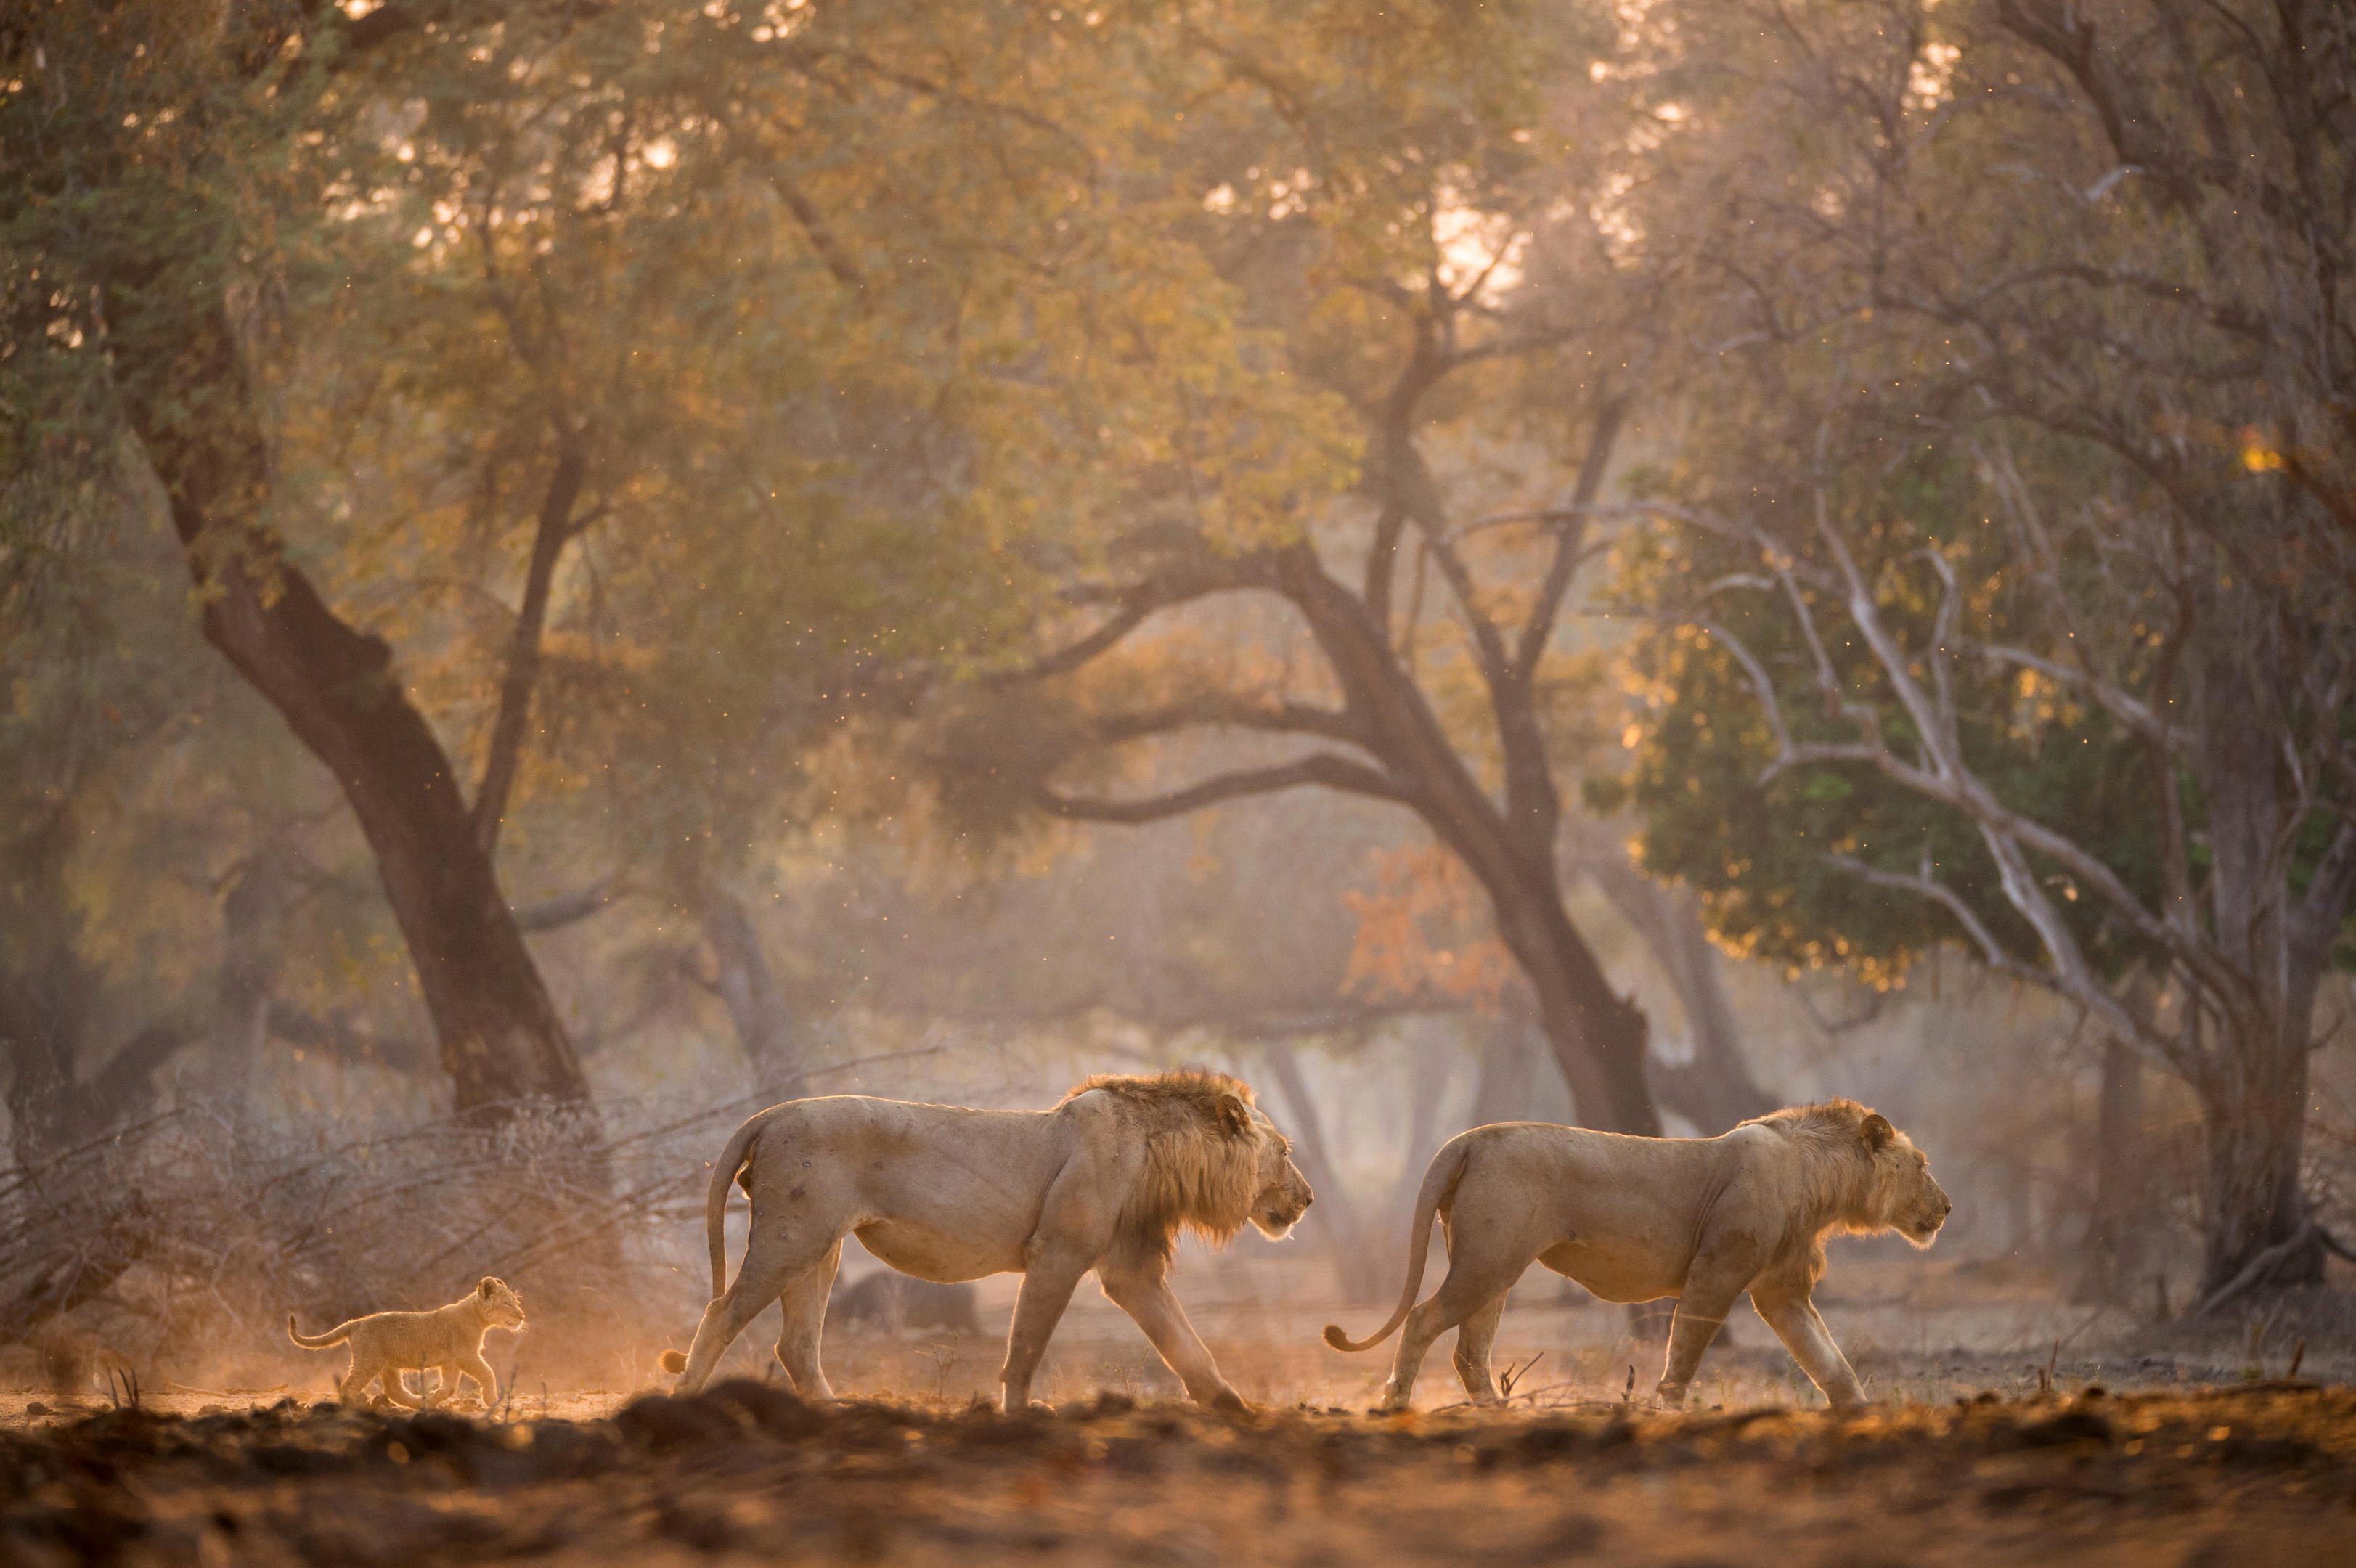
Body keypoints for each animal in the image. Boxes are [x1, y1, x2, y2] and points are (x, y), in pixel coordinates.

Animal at [288, 1277, 526, 1410]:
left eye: (516, 1302)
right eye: (507, 1303)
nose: (522, 1317)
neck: (478, 1316)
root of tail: (356, 1323)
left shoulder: (451, 1361)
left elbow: (449, 1388)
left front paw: (434, 1398)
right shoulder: (465, 1354)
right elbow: (487, 1373)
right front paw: (492, 1399)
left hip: (389, 1365)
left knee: (395, 1391)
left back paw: (420, 1403)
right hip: (369, 1360)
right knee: (349, 1385)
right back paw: (355, 1408)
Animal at [655, 1071, 1312, 1412]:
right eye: (1284, 1151)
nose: (1308, 1200)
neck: (1162, 1155)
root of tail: (770, 1113)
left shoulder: (1131, 1270)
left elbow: (1187, 1345)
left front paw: (1234, 1408)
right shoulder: (1057, 1253)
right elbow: (1026, 1343)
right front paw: (1020, 1412)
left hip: (820, 1246)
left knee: (796, 1344)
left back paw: (834, 1413)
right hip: (792, 1237)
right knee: (721, 1312)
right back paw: (683, 1401)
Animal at [1324, 1100, 1950, 1411]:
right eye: (1922, 1164)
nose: (1946, 1207)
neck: (1820, 1184)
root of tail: (1469, 1137)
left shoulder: (1781, 1292)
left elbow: (1829, 1362)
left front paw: (1862, 1415)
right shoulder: (1716, 1273)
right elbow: (1686, 1353)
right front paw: (1668, 1410)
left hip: (1491, 1270)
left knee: (1468, 1351)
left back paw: (1497, 1414)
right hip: (1487, 1263)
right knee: (1421, 1320)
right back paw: (1397, 1404)